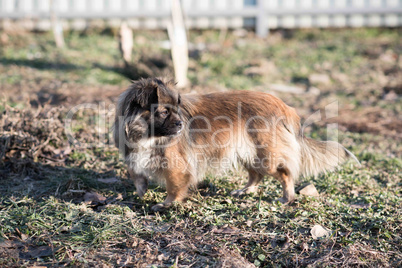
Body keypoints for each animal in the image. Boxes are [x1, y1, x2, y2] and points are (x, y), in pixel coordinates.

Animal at [113, 77, 358, 211]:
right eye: (164, 112)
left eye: (176, 110)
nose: (181, 124)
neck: (147, 135)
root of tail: (285, 107)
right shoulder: (134, 155)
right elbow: (136, 175)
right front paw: (141, 192)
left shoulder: (177, 166)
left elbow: (175, 187)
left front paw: (166, 204)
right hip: (248, 153)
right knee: (256, 175)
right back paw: (245, 190)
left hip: (264, 155)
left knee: (285, 174)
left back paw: (287, 198)